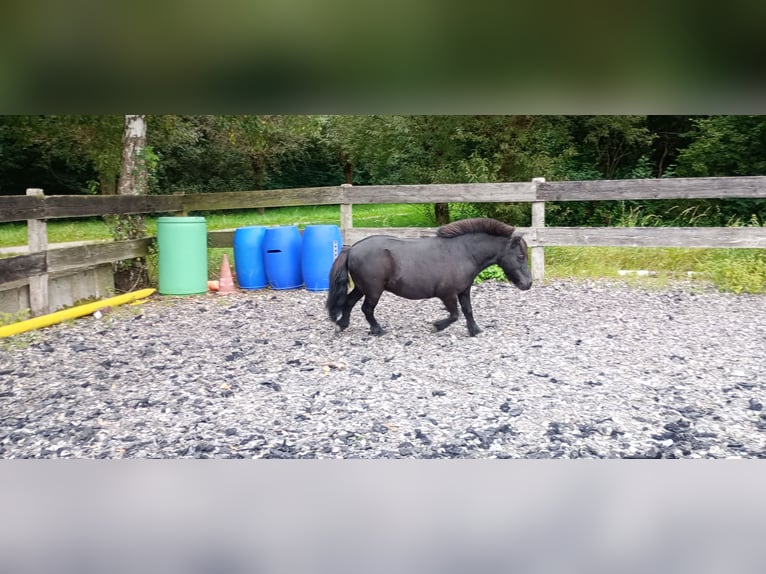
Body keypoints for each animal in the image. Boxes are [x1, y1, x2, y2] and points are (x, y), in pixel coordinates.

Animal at [326, 219, 536, 338]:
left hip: (362, 288)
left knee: (349, 303)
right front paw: (437, 326)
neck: (464, 252)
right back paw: (377, 330)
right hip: (373, 290)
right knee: (366, 309)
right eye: (520, 256)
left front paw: (474, 330)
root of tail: (352, 249)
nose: (528, 283)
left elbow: (467, 310)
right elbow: (454, 315)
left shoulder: (464, 290)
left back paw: (342, 325)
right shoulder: (447, 294)